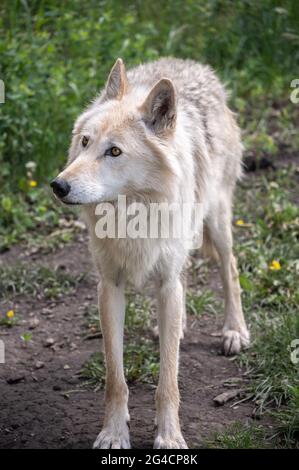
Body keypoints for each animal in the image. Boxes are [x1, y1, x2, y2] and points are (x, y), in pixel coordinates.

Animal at [51, 57, 251, 448]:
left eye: (114, 151)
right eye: (85, 142)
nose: (58, 185)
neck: (133, 217)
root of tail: (193, 65)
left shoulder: (167, 281)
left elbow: (168, 381)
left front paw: (169, 437)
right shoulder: (109, 287)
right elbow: (115, 378)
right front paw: (113, 434)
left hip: (217, 219)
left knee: (229, 267)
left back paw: (234, 330)